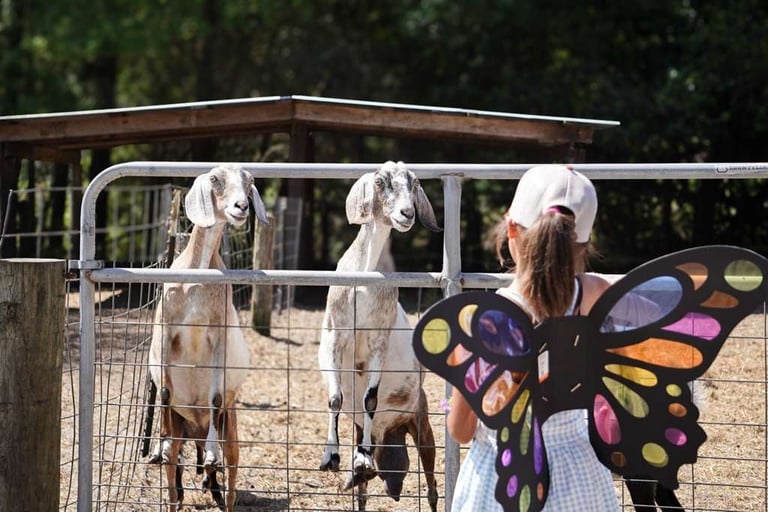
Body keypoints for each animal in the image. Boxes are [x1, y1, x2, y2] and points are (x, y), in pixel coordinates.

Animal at [147, 165, 269, 512]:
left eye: (249, 182)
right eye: (215, 179)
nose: (241, 207)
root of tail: (198, 429)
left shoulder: (219, 338)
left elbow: (214, 398)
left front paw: (212, 459)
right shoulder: (167, 331)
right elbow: (164, 393)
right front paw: (160, 447)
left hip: (232, 428)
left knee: (230, 474)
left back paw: (217, 482)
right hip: (181, 425)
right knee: (174, 475)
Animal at [318, 161, 442, 511]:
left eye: (414, 184)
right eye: (381, 182)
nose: (407, 213)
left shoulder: (377, 343)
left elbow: (370, 399)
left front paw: (359, 458)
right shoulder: (335, 335)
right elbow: (335, 397)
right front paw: (330, 457)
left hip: (422, 427)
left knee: (431, 486)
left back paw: (367, 462)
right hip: (364, 430)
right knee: (362, 490)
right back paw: (359, 470)